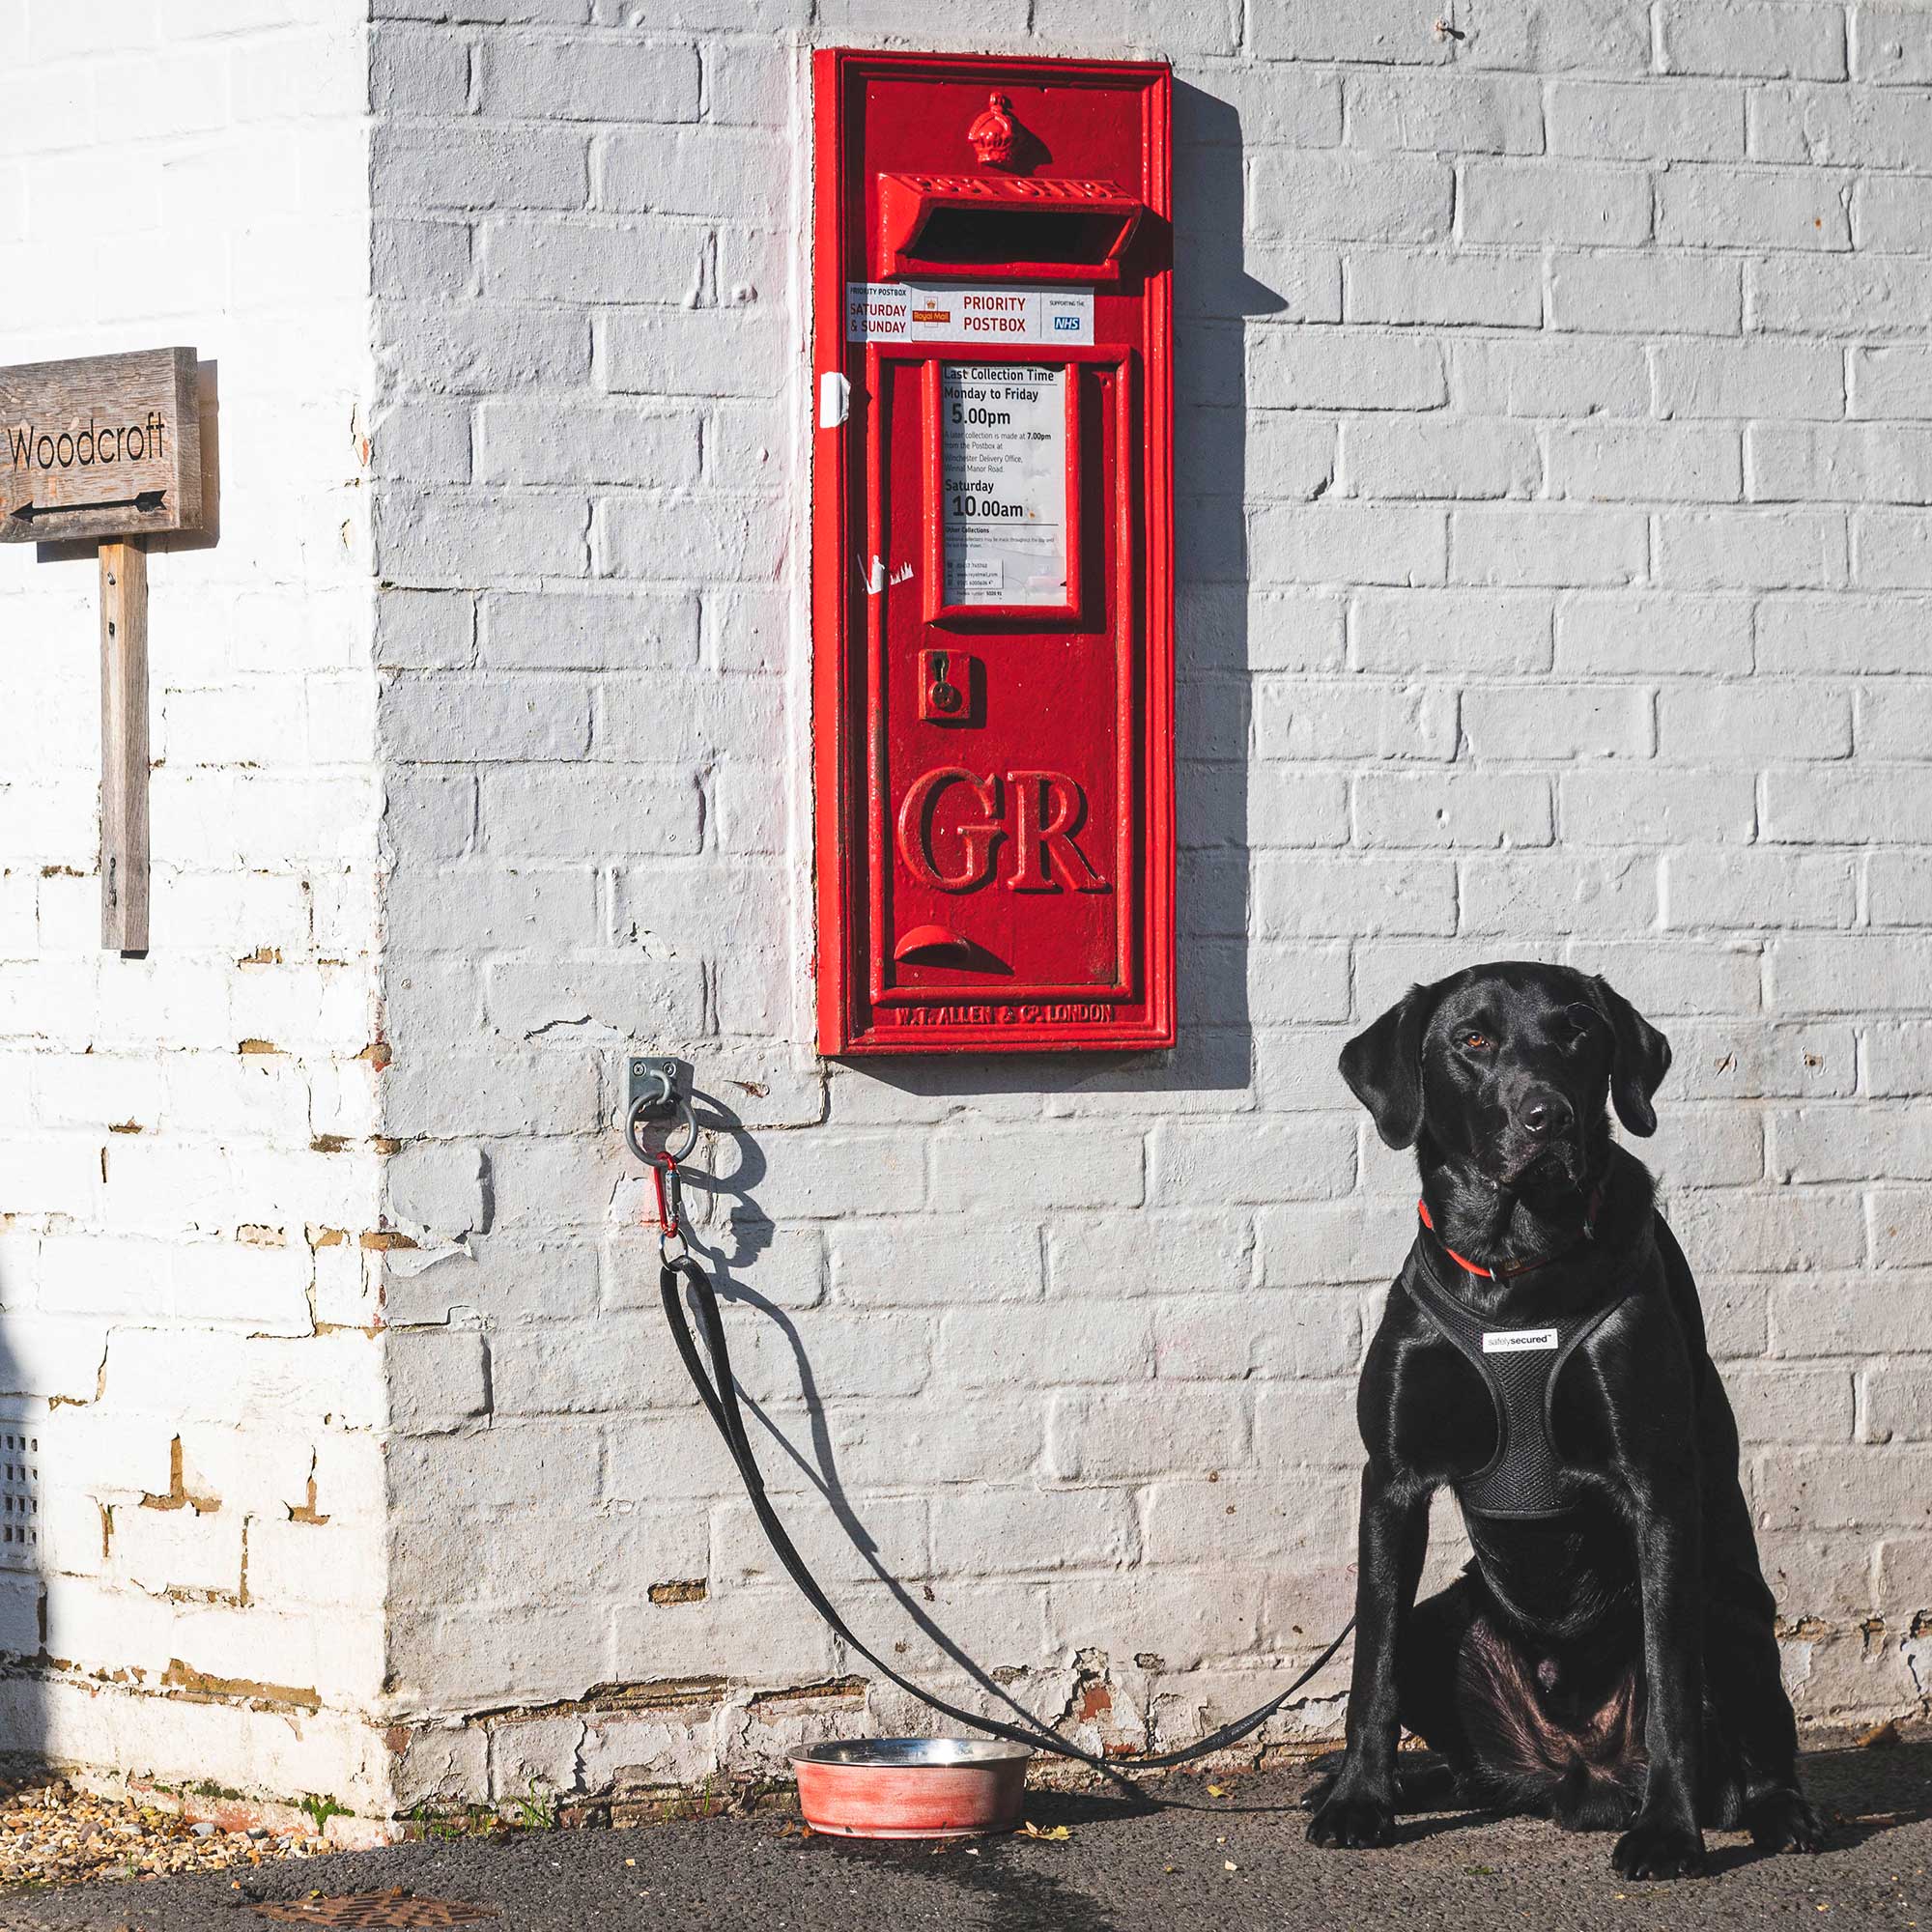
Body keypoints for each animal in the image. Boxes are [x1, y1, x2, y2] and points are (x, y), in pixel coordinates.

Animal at [1306, 958, 1816, 1878]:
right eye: (1472, 1039)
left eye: (1577, 1031)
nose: (1550, 1115)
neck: (1514, 1267)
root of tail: (1572, 1774)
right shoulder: (1392, 1483)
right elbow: (1373, 1666)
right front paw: (1359, 1799)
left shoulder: (1657, 1488)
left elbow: (1672, 1689)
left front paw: (1668, 1833)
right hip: (1447, 1621)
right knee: (1459, 1753)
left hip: (1728, 1611)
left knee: (1754, 1745)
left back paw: (1775, 1814)